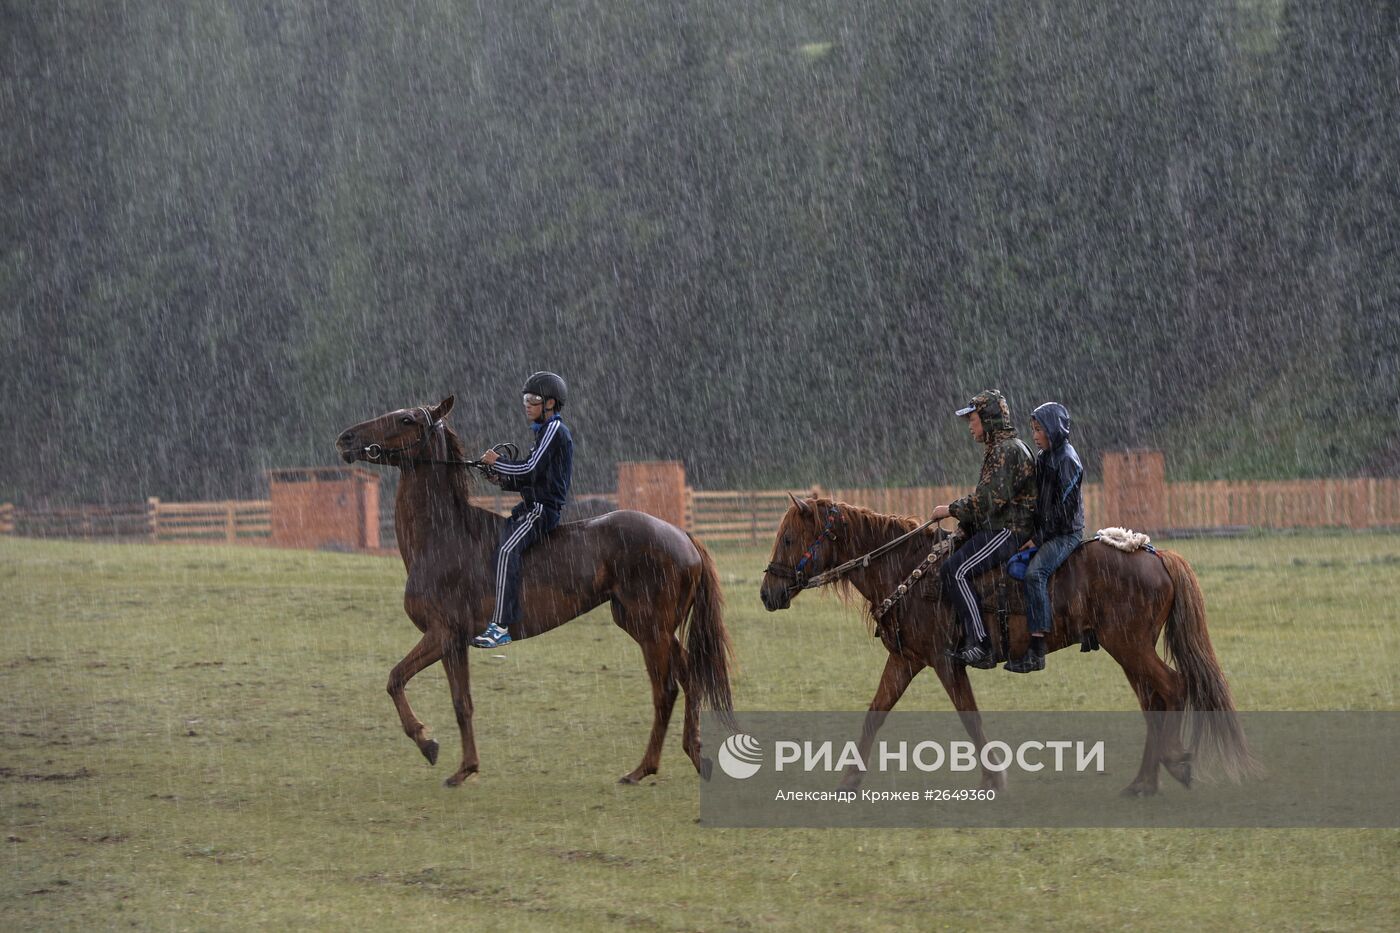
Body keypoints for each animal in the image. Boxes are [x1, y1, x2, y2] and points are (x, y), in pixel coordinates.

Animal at [334, 395, 739, 778]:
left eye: (406, 419)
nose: (346, 439)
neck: (444, 538)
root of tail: (681, 535)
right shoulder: (453, 644)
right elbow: (461, 703)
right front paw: (465, 768)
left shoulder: (441, 635)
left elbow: (395, 679)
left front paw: (426, 742)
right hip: (645, 627)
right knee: (690, 677)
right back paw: (694, 755)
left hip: (651, 630)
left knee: (666, 690)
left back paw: (642, 769)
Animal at [761, 493, 1254, 790]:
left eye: (788, 538)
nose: (768, 593)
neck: (910, 572)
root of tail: (1155, 553)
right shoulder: (906, 661)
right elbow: (874, 715)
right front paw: (848, 781)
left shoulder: (945, 661)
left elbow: (970, 719)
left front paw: (994, 781)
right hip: (1129, 650)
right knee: (1154, 701)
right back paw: (1144, 782)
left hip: (1130, 647)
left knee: (1172, 687)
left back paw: (1174, 766)